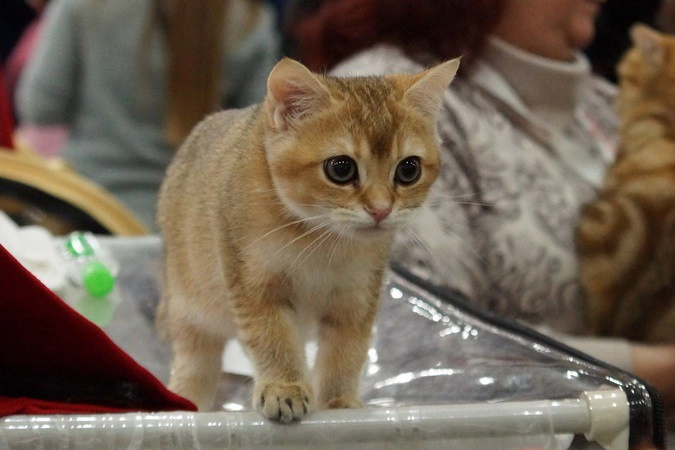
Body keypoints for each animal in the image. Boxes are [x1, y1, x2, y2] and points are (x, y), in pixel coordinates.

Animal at [156, 57, 459, 422]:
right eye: (341, 168)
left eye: (408, 169)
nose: (381, 209)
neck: (320, 240)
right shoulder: (255, 289)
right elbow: (273, 340)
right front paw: (283, 388)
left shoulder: (356, 299)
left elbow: (345, 354)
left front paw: (340, 403)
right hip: (190, 311)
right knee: (195, 365)